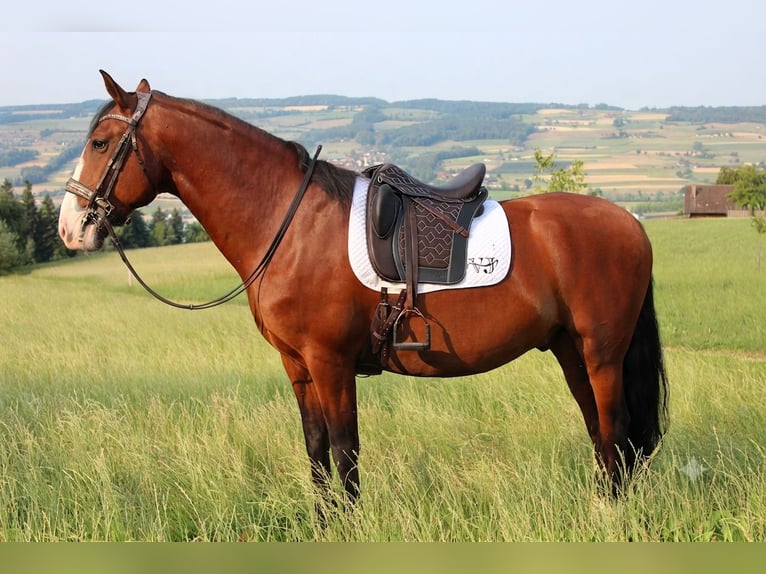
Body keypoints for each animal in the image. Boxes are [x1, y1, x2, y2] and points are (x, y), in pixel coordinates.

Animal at [58, 71, 668, 505]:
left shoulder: (331, 364)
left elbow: (345, 452)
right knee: (602, 434)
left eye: (101, 142)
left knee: (615, 430)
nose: (70, 228)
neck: (289, 222)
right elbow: (316, 452)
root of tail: (632, 223)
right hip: (570, 349)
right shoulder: (298, 366)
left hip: (602, 354)